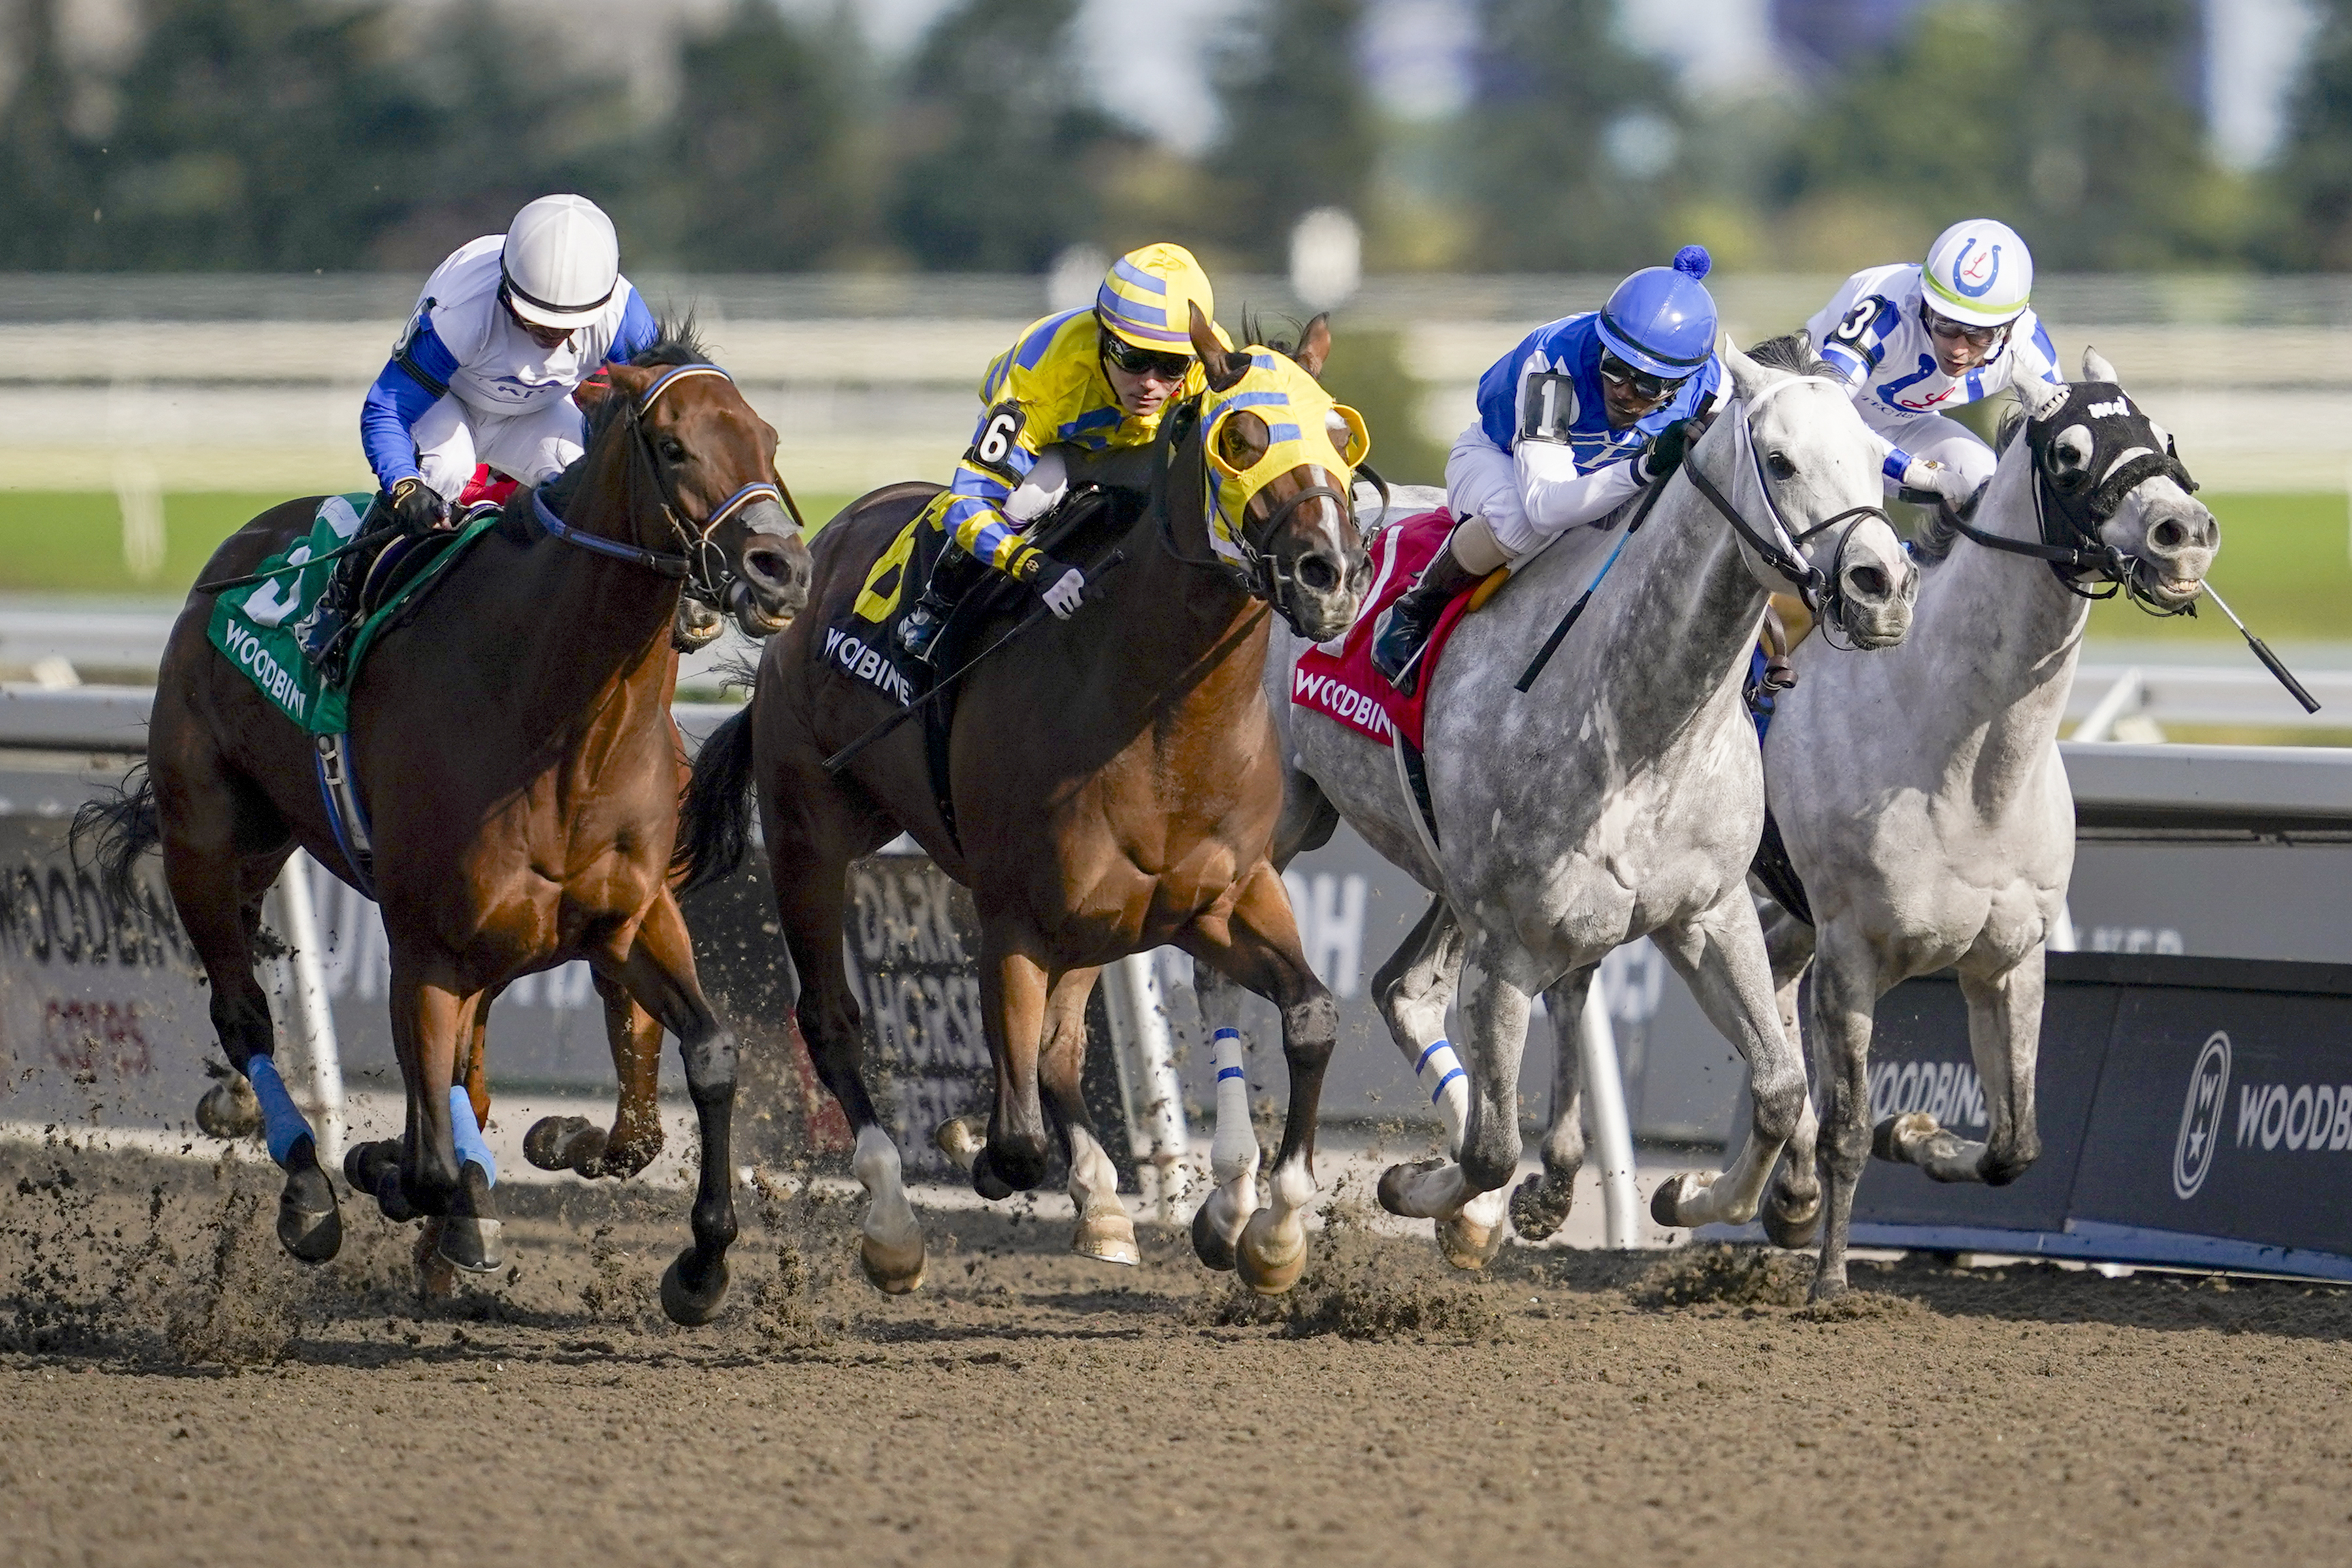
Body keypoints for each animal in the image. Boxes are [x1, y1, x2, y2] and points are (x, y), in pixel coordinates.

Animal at [78, 331, 813, 1326]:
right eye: (672, 447)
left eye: (767, 437)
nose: (783, 569)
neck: (557, 715)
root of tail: (232, 559)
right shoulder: (425, 946)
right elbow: (424, 1158)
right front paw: (387, 1170)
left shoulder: (629, 918)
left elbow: (707, 1059)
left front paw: (694, 1262)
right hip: (209, 842)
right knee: (245, 1017)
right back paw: (312, 1185)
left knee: (472, 1072)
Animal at [682, 305, 1373, 1298]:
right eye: (1240, 437)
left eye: (1341, 437)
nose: (1332, 573)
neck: (1161, 717)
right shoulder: (1013, 919)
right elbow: (1012, 1143)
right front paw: (966, 1146)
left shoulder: (1218, 899)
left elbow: (1312, 1015)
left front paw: (1269, 1231)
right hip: (811, 832)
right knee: (832, 1017)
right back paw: (893, 1222)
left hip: (1096, 923)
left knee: (1060, 1047)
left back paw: (1102, 1203)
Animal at [1185, 338, 1919, 1269]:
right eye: (1782, 462)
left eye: (1876, 458)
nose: (1882, 586)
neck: (1641, 727)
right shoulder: (1508, 947)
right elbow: (1493, 1150)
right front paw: (1420, 1190)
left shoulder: (1707, 915)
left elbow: (1781, 1085)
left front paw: (1692, 1195)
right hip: (1274, 832)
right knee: (1221, 973)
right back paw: (1236, 1202)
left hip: (1446, 875)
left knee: (1402, 988)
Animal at [1750, 352, 2220, 1298]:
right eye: (2071, 453)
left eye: (2159, 431)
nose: (2183, 534)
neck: (1964, 760)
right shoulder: (1852, 952)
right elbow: (1848, 1130)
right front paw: (1831, 1284)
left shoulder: (2006, 956)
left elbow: (2016, 1145)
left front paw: (1916, 1135)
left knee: (1775, 998)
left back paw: (1760, 1194)